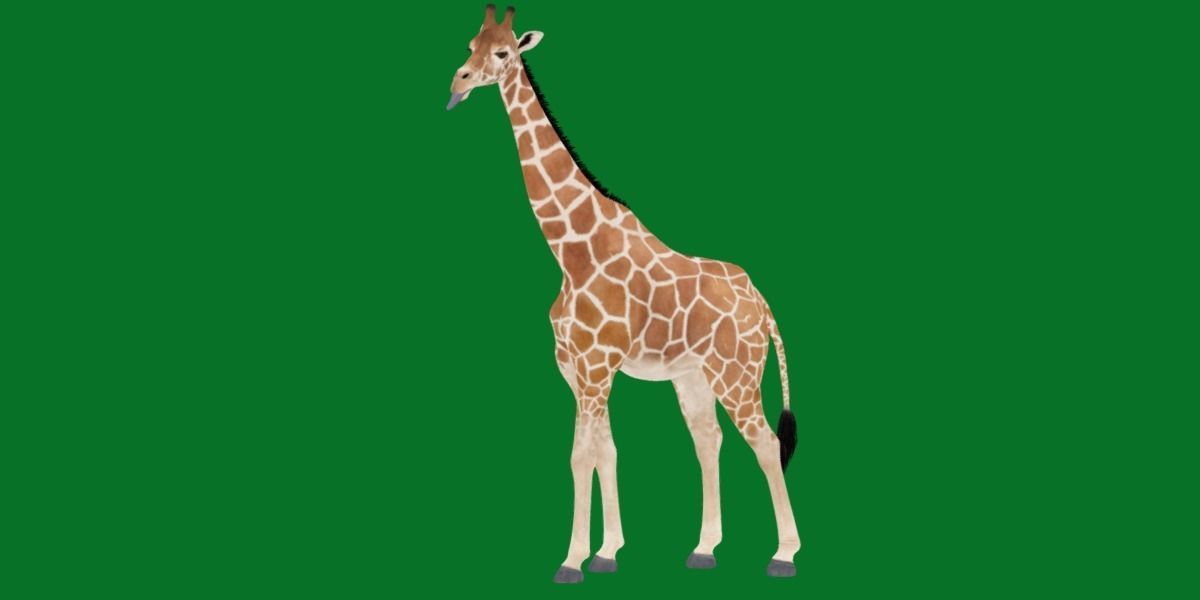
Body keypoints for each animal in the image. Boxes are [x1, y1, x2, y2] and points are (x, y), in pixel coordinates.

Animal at [447, 5, 801, 583]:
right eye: (471, 44)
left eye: (502, 52)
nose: (458, 83)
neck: (571, 250)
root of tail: (763, 305)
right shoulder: (576, 369)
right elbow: (600, 452)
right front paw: (605, 551)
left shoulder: (596, 366)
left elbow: (583, 455)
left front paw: (573, 560)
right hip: (693, 375)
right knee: (709, 440)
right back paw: (703, 548)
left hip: (738, 371)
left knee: (766, 442)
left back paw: (784, 554)